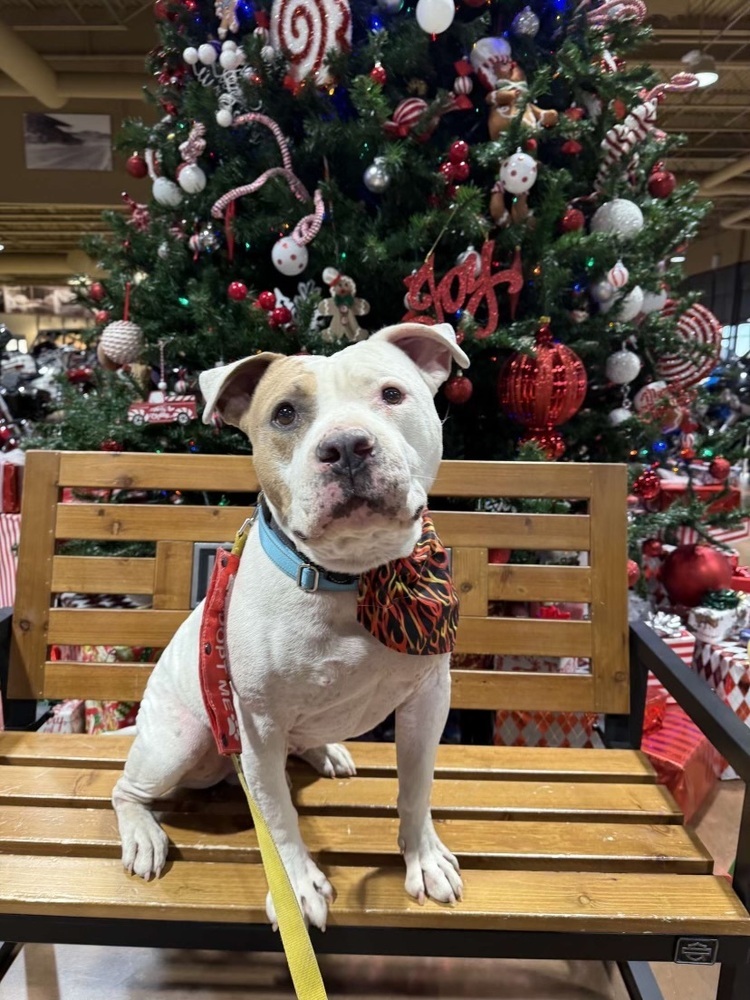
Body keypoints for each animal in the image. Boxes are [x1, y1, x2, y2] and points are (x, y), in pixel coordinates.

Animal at [113, 320, 470, 928]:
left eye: (392, 394)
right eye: (284, 414)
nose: (346, 446)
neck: (351, 578)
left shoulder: (428, 698)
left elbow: (417, 787)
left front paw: (423, 858)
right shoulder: (257, 728)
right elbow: (279, 818)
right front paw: (297, 887)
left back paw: (324, 750)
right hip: (180, 740)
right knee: (126, 790)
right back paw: (141, 834)